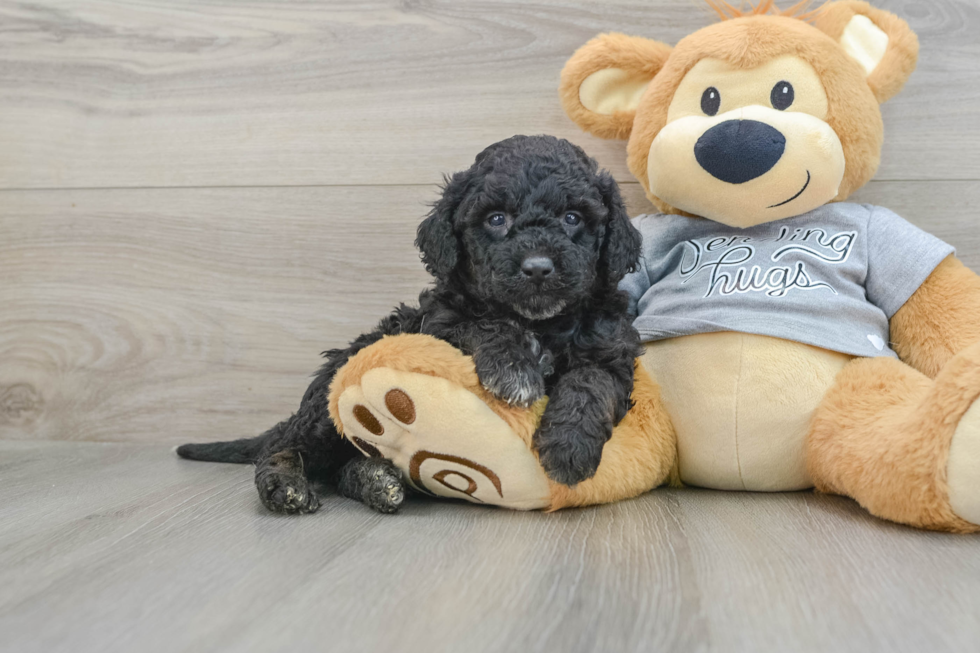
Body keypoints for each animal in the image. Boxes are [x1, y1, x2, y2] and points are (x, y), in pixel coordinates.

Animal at [178, 135, 644, 516]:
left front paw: (569, 447)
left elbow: (592, 382)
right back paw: (285, 485)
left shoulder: (612, 348)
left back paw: (375, 481)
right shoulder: (437, 325)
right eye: (496, 219)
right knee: (284, 446)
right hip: (327, 404)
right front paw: (514, 366)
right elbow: (481, 323)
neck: (541, 322)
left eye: (572, 218)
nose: (537, 268)